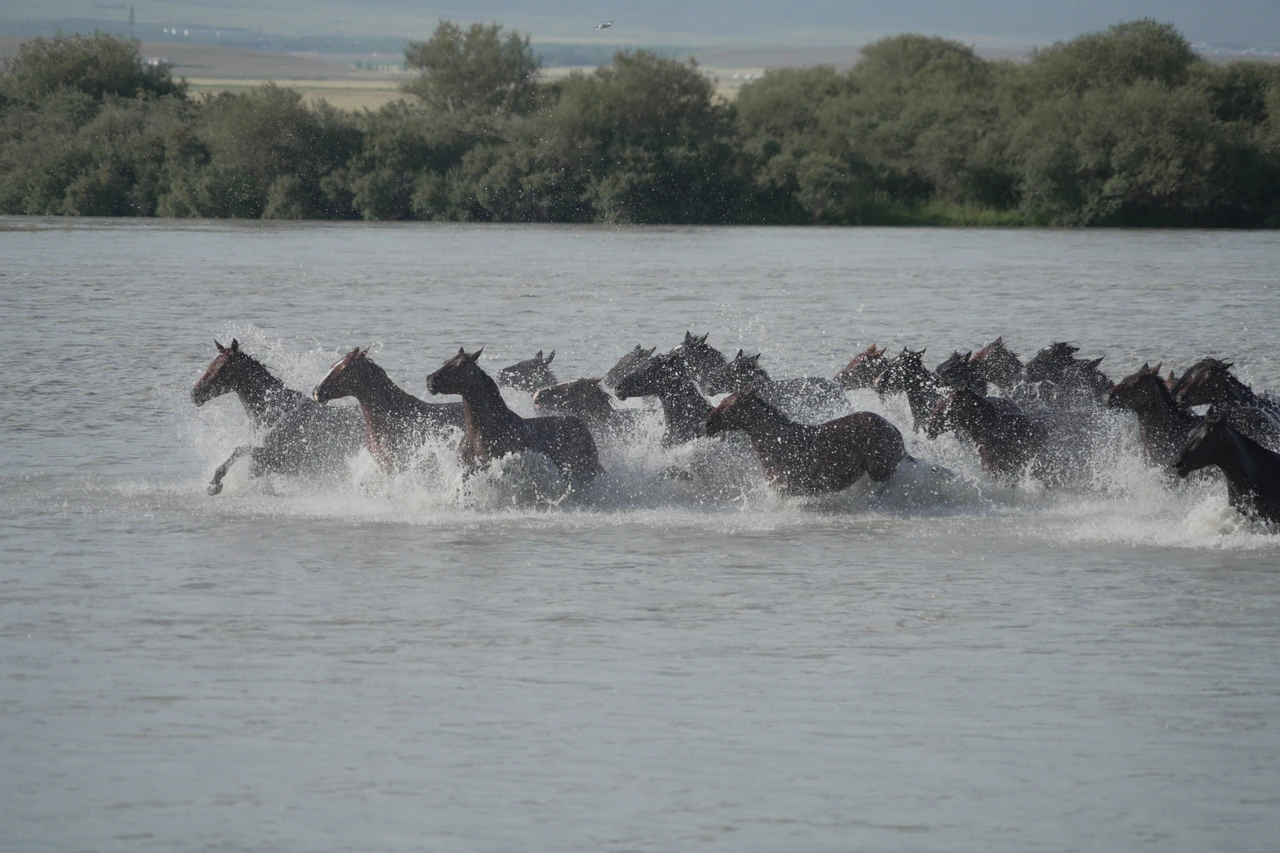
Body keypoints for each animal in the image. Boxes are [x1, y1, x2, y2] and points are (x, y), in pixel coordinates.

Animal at [192, 339, 365, 495]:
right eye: (211, 363)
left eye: (223, 367)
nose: (194, 394)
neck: (275, 412)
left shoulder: (283, 460)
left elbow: (240, 450)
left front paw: (215, 484)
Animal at [704, 389, 908, 496]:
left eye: (728, 407)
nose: (707, 423)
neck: (775, 441)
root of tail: (893, 429)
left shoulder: (785, 488)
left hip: (879, 470)